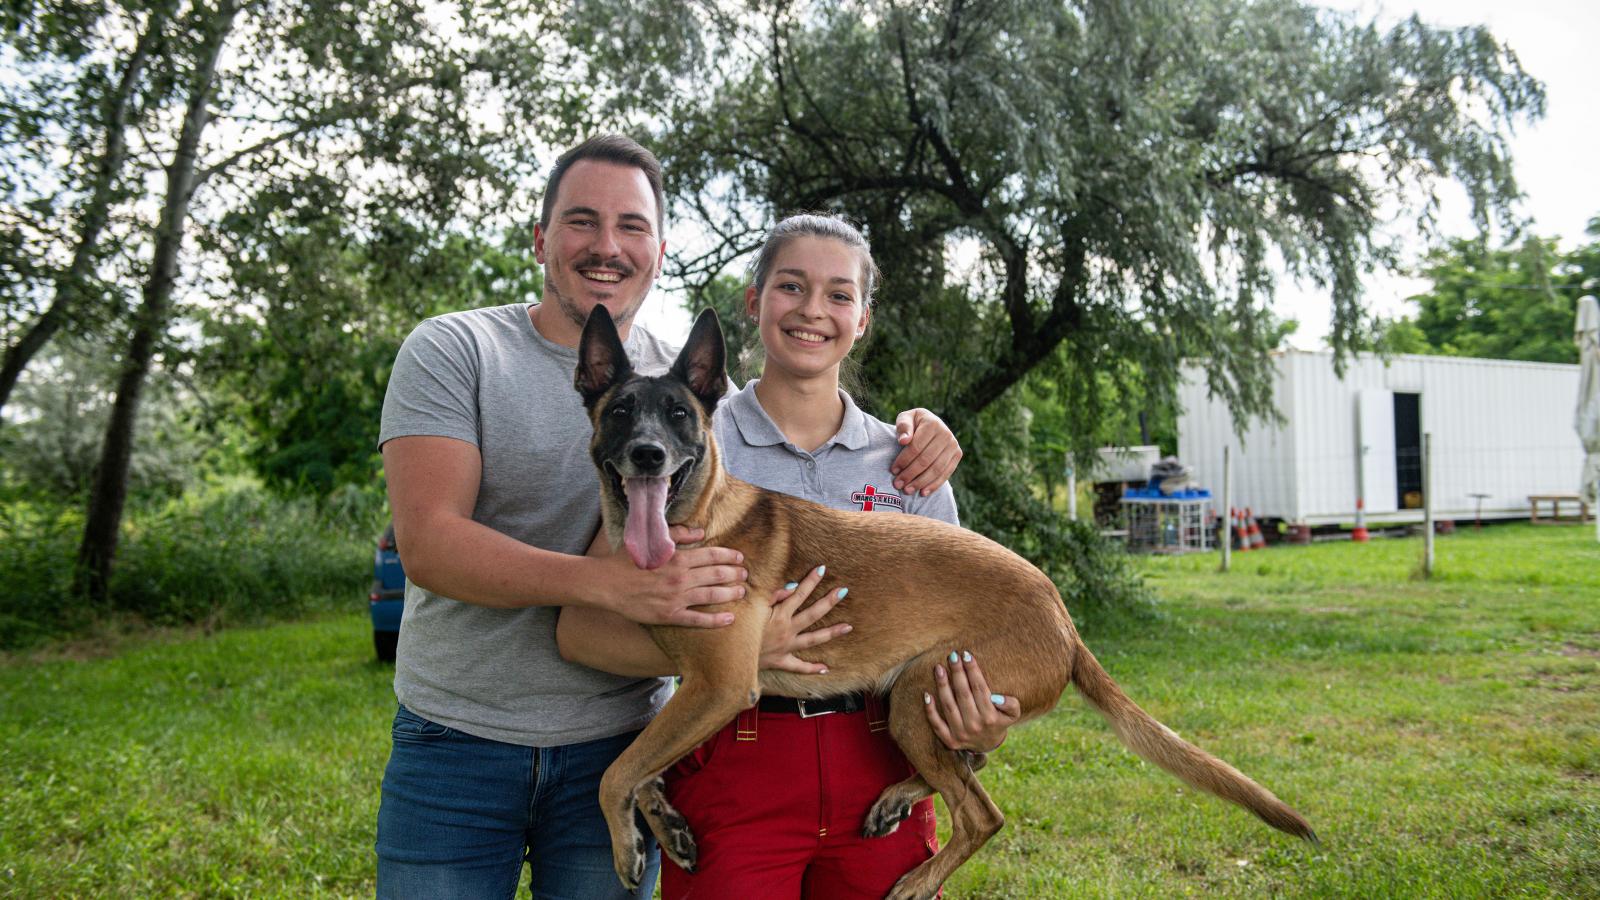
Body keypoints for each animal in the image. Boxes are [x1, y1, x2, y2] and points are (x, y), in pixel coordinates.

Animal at [576, 307, 1312, 896]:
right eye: (619, 412)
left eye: (679, 416)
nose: (647, 455)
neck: (699, 521)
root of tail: (1064, 621)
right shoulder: (698, 691)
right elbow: (640, 764)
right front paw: (664, 826)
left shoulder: (722, 686)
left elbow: (614, 772)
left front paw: (625, 845)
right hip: (927, 704)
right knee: (974, 763)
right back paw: (899, 798)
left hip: (918, 692)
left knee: (983, 810)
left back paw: (916, 875)